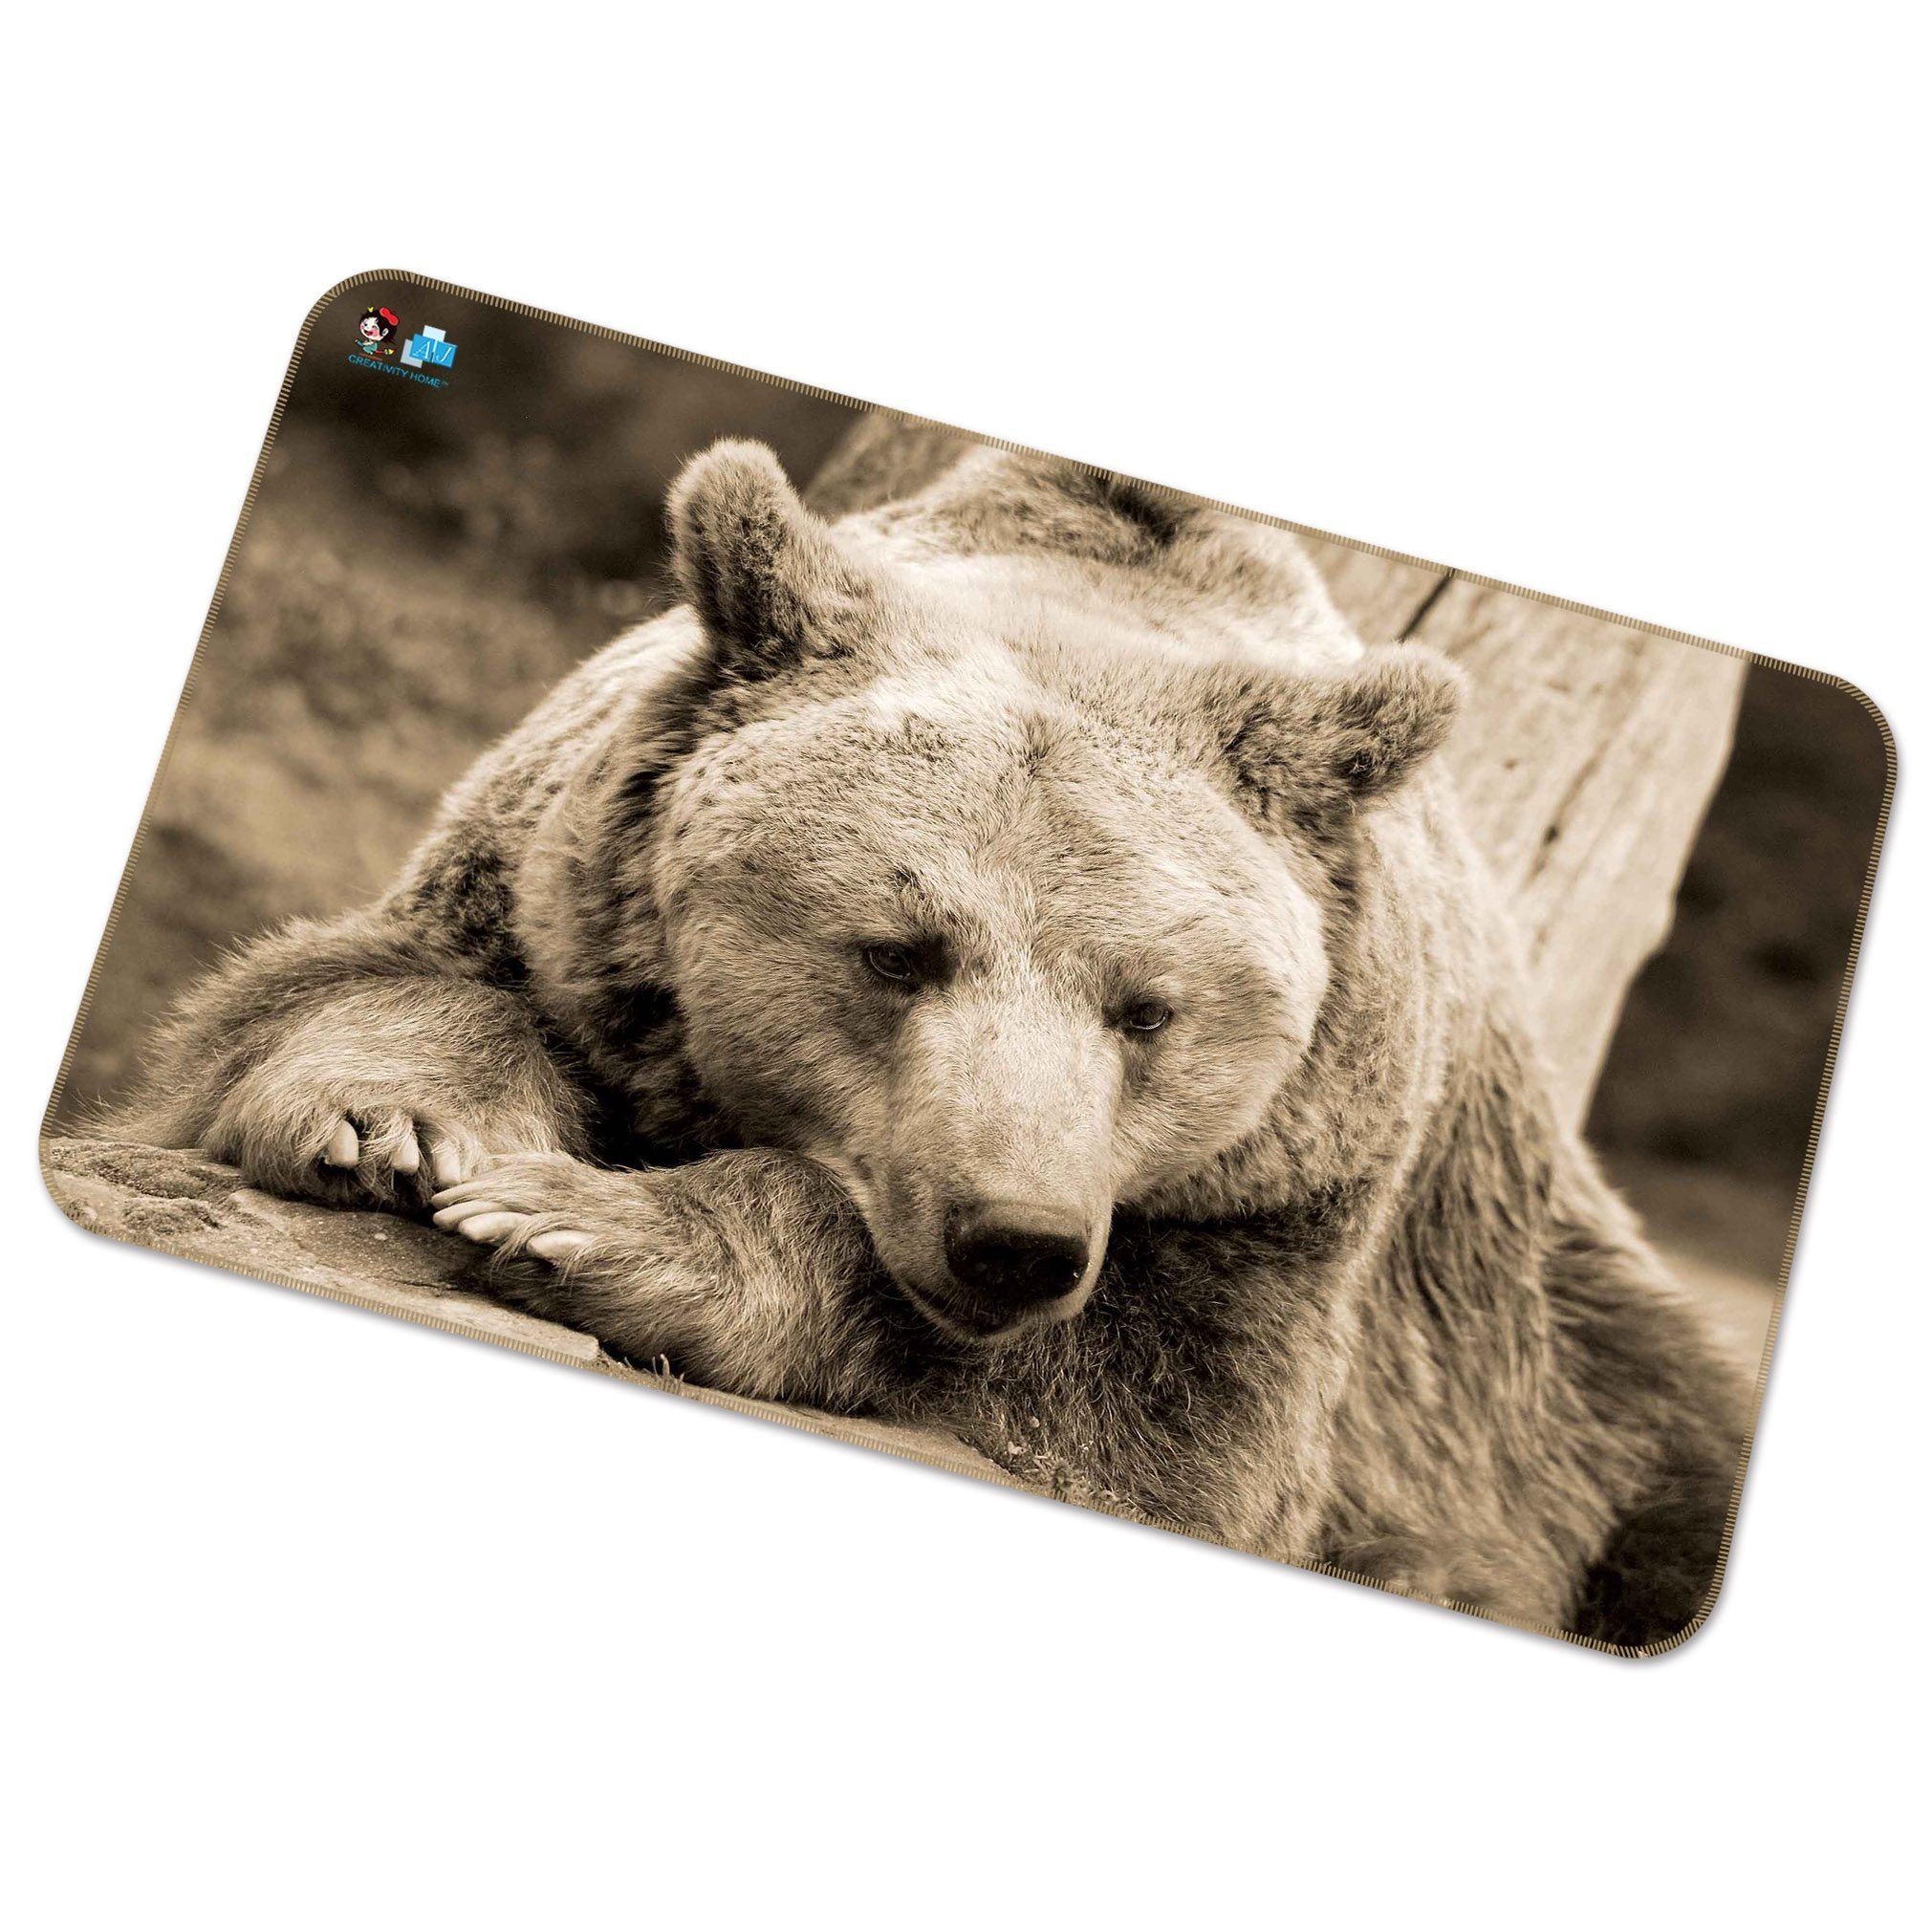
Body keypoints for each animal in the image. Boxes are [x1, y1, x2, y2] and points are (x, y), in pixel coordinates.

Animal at [119, 436, 1752, 1648]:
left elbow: (1156, 1410)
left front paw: (593, 1227)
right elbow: (347, 993)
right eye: (897, 949)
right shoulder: (540, 889)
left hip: (1576, 1365)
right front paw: (407, 1131)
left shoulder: (1298, 1196)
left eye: (1147, 1005)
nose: (1012, 1239)